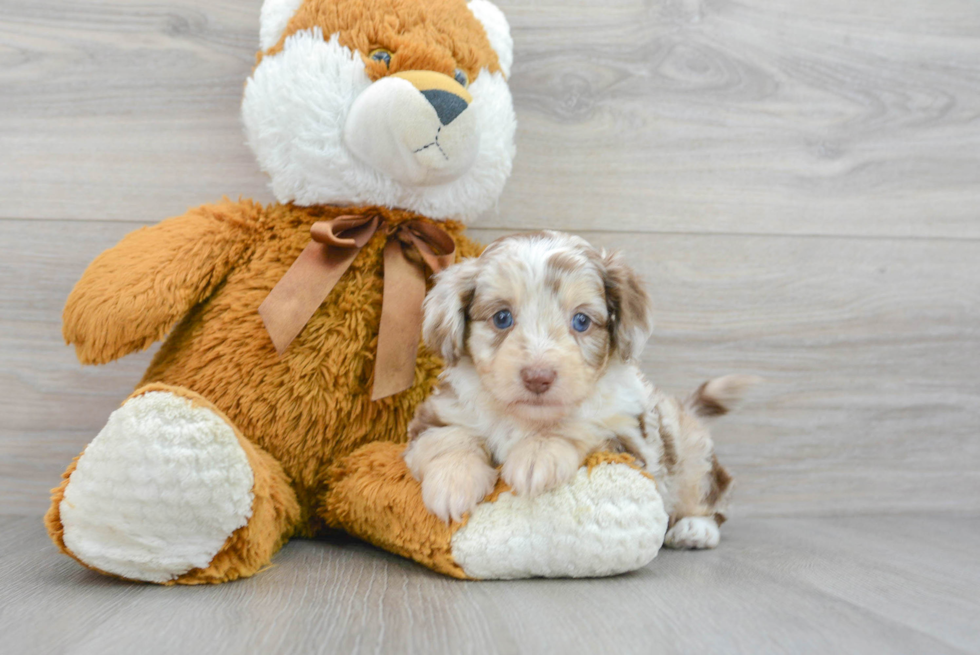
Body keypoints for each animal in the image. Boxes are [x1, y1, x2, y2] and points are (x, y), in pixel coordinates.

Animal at [402, 231, 756, 548]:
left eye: (582, 321)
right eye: (502, 318)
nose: (538, 376)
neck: (526, 419)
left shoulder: (633, 442)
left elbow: (580, 426)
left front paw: (538, 453)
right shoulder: (435, 414)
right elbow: (448, 437)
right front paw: (453, 481)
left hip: (692, 459)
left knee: (712, 494)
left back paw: (695, 529)